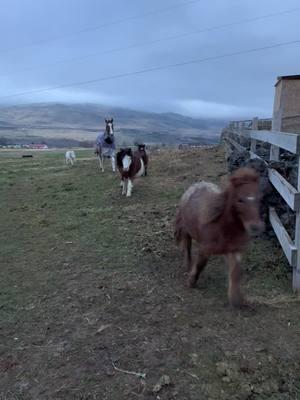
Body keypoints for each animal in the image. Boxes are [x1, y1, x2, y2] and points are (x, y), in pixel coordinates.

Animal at [175, 167, 264, 308]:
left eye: (260, 198)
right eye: (240, 199)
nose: (255, 227)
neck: (222, 228)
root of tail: (197, 184)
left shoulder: (234, 250)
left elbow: (236, 272)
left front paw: (236, 300)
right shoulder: (205, 248)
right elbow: (200, 264)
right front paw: (191, 281)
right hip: (186, 230)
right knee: (187, 245)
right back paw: (187, 265)